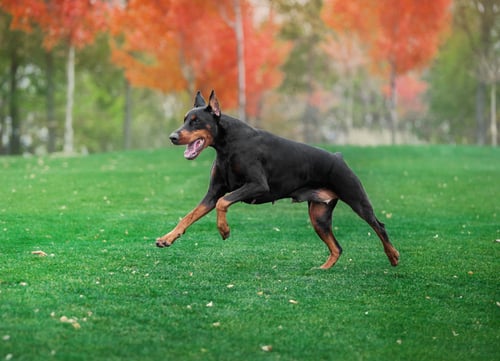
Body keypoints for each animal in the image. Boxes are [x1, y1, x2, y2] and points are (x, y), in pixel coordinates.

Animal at [156, 91, 398, 268]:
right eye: (185, 120)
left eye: (196, 121)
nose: (172, 137)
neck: (227, 146)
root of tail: (338, 157)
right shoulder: (213, 192)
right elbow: (190, 215)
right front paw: (167, 238)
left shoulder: (257, 185)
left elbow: (223, 202)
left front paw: (224, 230)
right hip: (319, 215)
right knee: (337, 247)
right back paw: (321, 270)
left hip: (356, 198)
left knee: (379, 226)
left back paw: (393, 255)